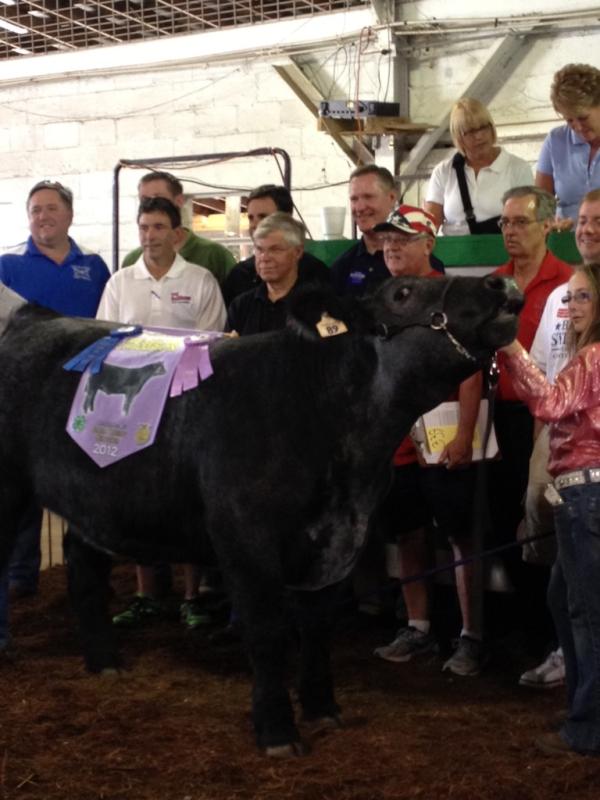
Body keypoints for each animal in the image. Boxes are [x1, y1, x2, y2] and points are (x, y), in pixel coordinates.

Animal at [0, 275, 521, 756]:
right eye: (403, 292)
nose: (499, 283)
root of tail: (31, 317)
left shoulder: (339, 539)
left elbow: (317, 628)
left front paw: (322, 708)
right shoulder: (247, 542)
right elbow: (268, 633)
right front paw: (277, 731)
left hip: (92, 495)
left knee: (83, 562)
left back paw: (105, 661)